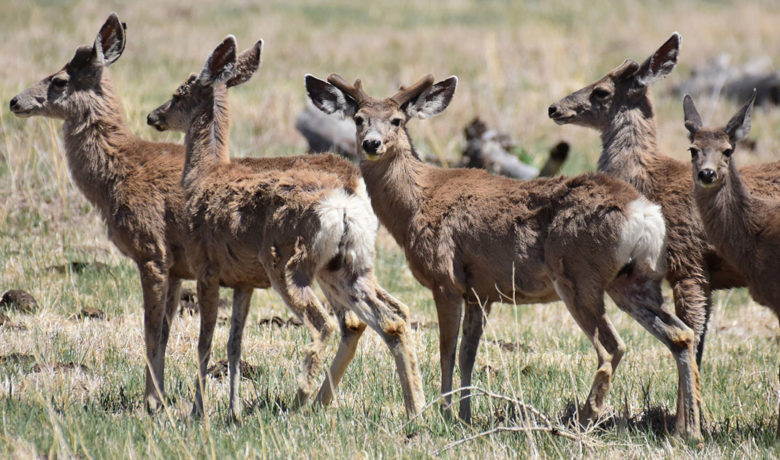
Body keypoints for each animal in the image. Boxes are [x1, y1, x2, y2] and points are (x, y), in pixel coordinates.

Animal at [146, 35, 426, 419]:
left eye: (178, 93)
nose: (153, 116)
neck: (203, 176)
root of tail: (345, 200)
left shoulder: (206, 267)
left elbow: (205, 342)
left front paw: (197, 412)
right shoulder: (243, 281)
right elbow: (234, 342)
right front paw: (233, 410)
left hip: (287, 262)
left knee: (324, 324)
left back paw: (301, 398)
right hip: (348, 264)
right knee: (389, 318)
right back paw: (415, 406)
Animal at [305, 73, 703, 440]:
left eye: (397, 120)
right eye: (359, 118)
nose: (372, 143)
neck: (416, 202)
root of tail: (645, 212)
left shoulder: (445, 280)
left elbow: (446, 350)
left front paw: (443, 414)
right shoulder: (481, 292)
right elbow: (468, 354)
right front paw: (464, 416)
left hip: (579, 277)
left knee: (611, 348)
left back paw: (583, 419)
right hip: (633, 280)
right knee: (681, 335)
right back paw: (688, 430)